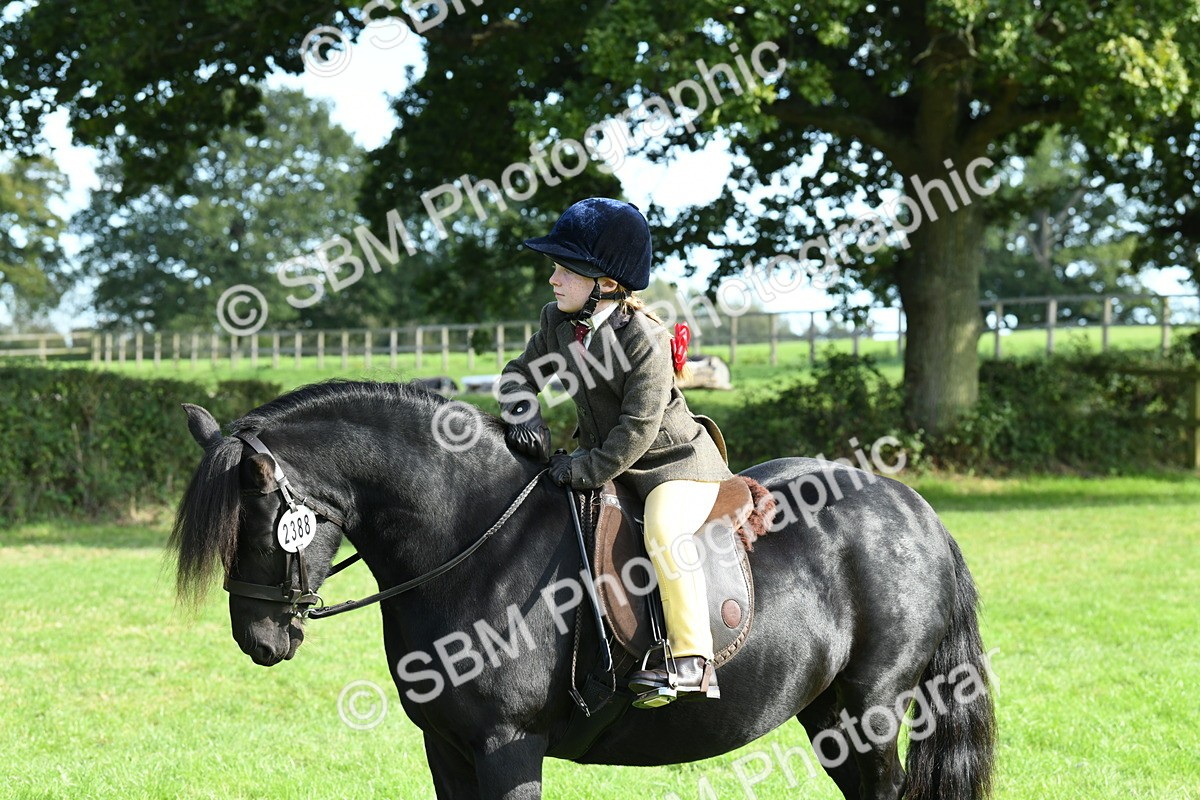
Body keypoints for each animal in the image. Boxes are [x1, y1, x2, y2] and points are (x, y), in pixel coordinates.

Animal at [170, 379, 995, 800]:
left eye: (258, 523)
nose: (260, 640)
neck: (472, 538)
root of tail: (914, 510)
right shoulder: (447, 749)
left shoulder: (508, 746)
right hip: (830, 714)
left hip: (872, 709)